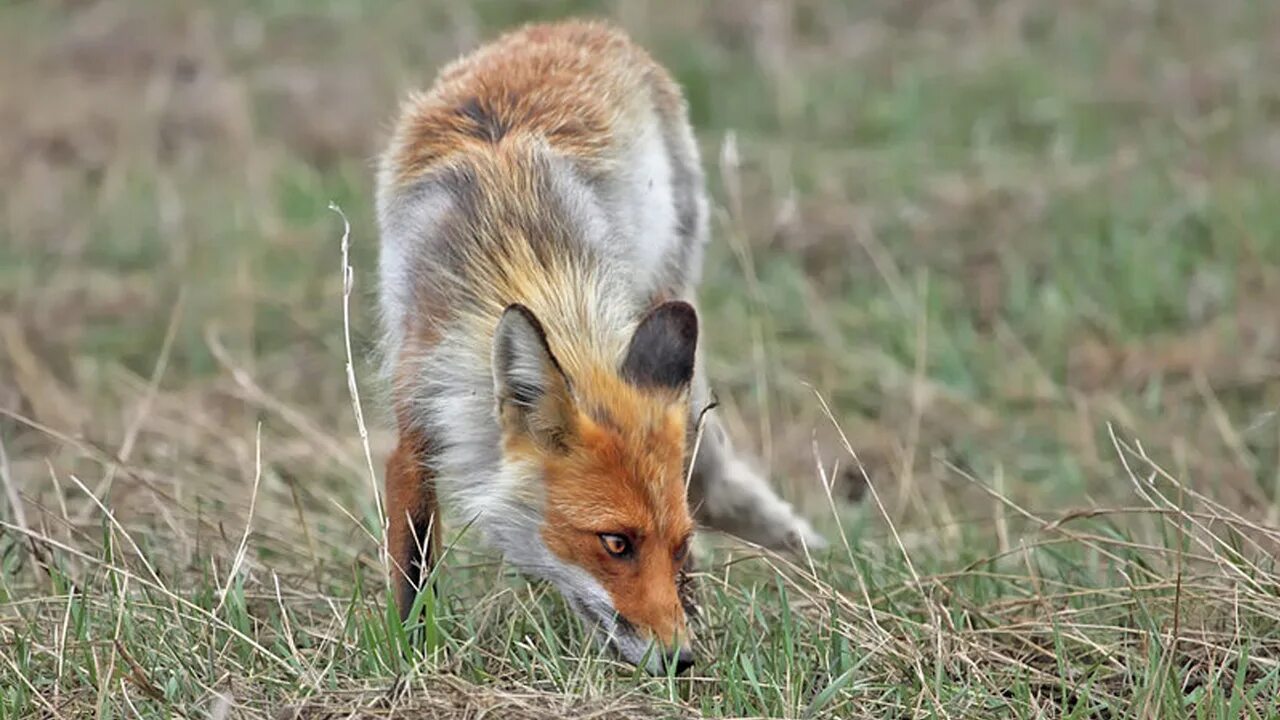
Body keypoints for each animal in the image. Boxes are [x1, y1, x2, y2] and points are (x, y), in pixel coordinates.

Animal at [373, 18, 824, 671]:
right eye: (615, 542)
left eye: (679, 546)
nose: (681, 661)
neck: (523, 257)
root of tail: (578, 24)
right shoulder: (420, 409)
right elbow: (412, 568)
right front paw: (412, 657)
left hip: (665, 287)